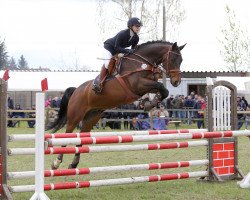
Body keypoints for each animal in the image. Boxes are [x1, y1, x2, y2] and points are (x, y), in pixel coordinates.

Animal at [47, 40, 186, 169]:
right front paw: (149, 104)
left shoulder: (147, 85)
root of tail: (76, 90)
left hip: (92, 117)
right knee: (68, 134)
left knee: (81, 137)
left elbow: (163, 90)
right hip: (75, 116)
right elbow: (161, 86)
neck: (141, 63)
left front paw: (149, 103)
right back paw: (56, 162)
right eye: (173, 59)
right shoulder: (137, 84)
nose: (176, 82)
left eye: (181, 60)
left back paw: (74, 163)